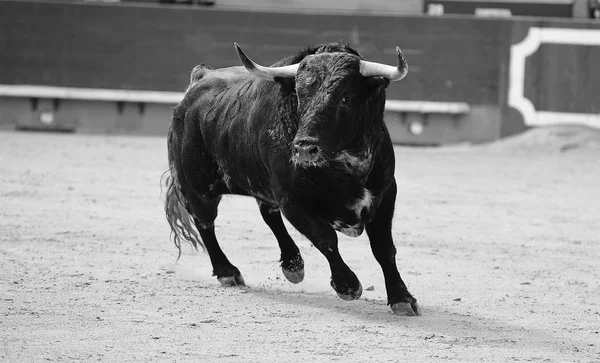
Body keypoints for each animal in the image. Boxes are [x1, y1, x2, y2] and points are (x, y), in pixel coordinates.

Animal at [162, 42, 420, 316]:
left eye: (346, 97)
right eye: (300, 96)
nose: (304, 148)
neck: (345, 165)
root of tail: (200, 78)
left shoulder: (386, 192)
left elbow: (383, 248)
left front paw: (401, 298)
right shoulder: (292, 201)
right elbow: (326, 238)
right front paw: (347, 286)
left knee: (268, 215)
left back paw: (292, 265)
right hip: (196, 187)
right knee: (205, 224)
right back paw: (228, 272)